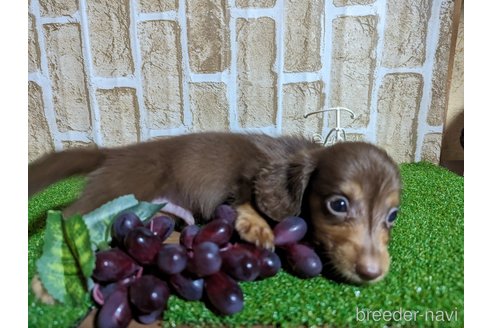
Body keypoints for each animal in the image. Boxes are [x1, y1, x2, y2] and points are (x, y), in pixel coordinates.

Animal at [28, 132, 402, 284]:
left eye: (392, 215)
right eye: (338, 205)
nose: (373, 273)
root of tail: (115, 153)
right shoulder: (244, 177)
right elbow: (245, 199)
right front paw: (257, 227)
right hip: (114, 191)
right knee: (70, 220)